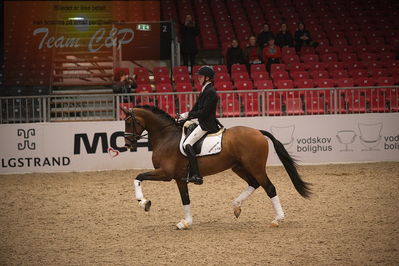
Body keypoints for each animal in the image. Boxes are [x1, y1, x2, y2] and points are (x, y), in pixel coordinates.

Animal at [122, 105, 312, 230]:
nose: (128, 144)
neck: (166, 136)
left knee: (269, 188)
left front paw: (144, 203)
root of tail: (258, 132)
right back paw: (236, 206)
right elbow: (185, 199)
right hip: (239, 167)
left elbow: (138, 177)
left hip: (255, 167)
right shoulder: (179, 178)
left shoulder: (165, 174)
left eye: (129, 122)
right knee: (254, 183)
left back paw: (278, 219)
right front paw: (186, 222)